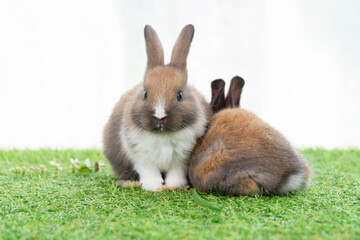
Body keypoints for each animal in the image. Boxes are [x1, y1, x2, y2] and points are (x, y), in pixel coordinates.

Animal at [102, 24, 211, 192]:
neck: (162, 135)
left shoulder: (182, 159)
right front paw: (153, 186)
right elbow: (149, 172)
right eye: (145, 93)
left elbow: (175, 173)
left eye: (180, 95)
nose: (160, 117)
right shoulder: (142, 157)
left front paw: (175, 185)